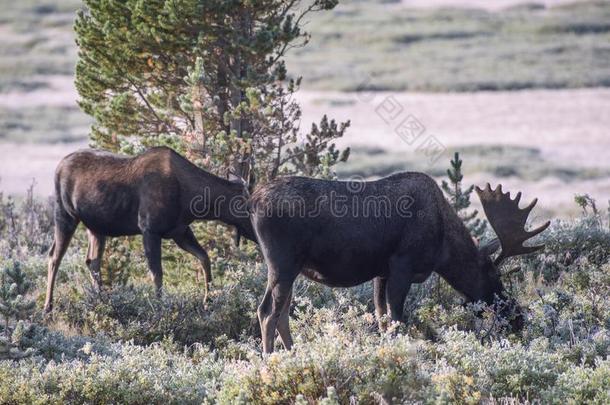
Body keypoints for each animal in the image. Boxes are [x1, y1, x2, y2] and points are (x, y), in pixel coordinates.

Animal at [42, 146, 252, 312]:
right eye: (248, 207)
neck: (191, 201)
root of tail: (58, 167)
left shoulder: (179, 231)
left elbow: (204, 258)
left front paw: (209, 300)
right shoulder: (149, 229)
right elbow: (157, 274)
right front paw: (159, 307)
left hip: (96, 226)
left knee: (92, 260)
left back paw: (101, 300)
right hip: (66, 214)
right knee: (54, 256)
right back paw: (48, 306)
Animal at [249, 172, 548, 352]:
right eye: (494, 275)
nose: (518, 318)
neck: (442, 248)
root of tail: (252, 201)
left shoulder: (381, 272)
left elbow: (382, 319)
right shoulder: (402, 264)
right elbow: (396, 320)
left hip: (292, 267)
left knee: (282, 313)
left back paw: (293, 355)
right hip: (283, 263)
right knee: (267, 312)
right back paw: (269, 362)